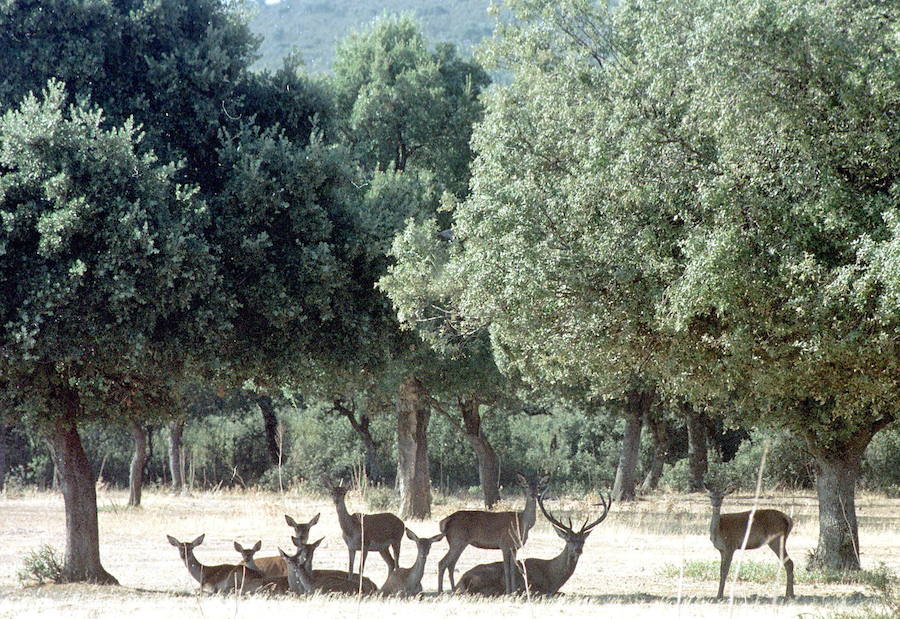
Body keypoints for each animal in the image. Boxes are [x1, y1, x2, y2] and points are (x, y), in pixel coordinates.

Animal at [458, 494, 612, 596]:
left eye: (582, 541)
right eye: (568, 539)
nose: (578, 550)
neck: (553, 577)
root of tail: (461, 581)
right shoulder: (534, 587)